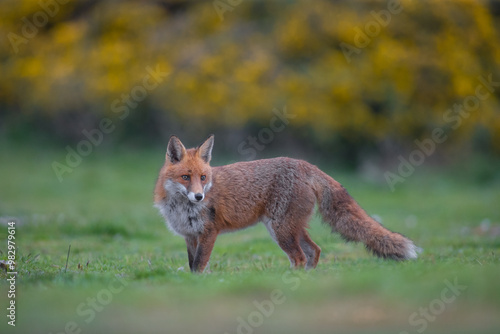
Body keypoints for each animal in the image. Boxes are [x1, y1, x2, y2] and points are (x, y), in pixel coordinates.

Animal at [154, 134, 420, 272]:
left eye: (203, 178)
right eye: (186, 177)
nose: (199, 197)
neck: (181, 208)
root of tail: (304, 164)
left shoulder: (209, 232)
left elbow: (199, 264)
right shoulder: (190, 236)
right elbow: (192, 264)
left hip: (281, 230)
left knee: (300, 257)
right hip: (287, 229)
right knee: (315, 250)